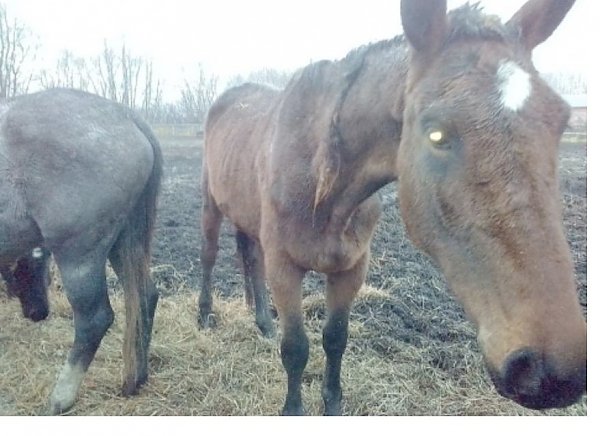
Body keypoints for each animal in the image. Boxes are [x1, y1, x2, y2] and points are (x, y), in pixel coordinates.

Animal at [0, 87, 163, 412]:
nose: (38, 313)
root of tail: (126, 116)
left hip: (79, 253)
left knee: (95, 320)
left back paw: (60, 399)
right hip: (122, 243)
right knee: (145, 296)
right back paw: (135, 380)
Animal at [200, 0, 584, 416]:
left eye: (562, 120)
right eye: (436, 133)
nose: (551, 372)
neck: (319, 183)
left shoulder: (352, 267)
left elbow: (335, 338)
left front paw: (332, 404)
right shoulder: (285, 267)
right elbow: (297, 349)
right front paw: (293, 409)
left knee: (250, 258)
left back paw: (262, 322)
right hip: (210, 203)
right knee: (210, 255)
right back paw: (205, 315)